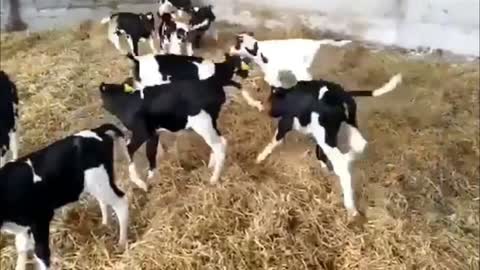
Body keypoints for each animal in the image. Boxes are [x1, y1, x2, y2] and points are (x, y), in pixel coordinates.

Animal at [0, 124, 129, 270]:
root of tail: (97, 131)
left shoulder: (40, 219)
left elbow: (41, 253)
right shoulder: (22, 227)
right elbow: (21, 249)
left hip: (101, 181)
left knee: (121, 202)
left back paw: (121, 244)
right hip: (98, 184)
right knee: (103, 201)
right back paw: (105, 225)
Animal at [100, 53, 251, 189]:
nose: (247, 74)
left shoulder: (141, 132)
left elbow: (130, 149)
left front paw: (140, 182)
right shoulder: (151, 133)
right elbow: (150, 152)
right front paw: (151, 177)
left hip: (202, 123)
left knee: (219, 145)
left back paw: (214, 178)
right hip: (208, 122)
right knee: (220, 142)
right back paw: (211, 167)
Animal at [256, 71, 404, 215]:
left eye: (271, 98)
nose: (266, 110)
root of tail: (342, 94)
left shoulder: (286, 123)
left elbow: (274, 141)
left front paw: (259, 158)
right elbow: (319, 151)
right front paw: (324, 167)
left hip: (327, 136)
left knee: (342, 163)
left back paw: (351, 208)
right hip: (349, 124)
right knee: (360, 145)